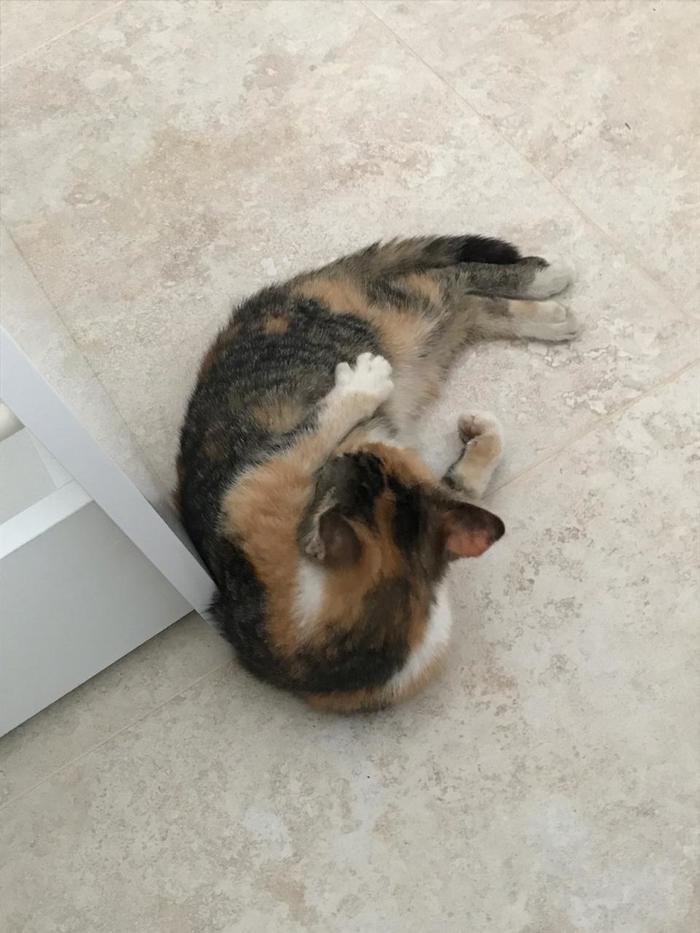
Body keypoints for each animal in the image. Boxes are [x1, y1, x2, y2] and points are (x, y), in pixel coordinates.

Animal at [176, 235, 578, 712]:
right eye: (365, 463)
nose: (357, 447)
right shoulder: (253, 485)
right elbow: (462, 485)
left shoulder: (257, 485)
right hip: (414, 328)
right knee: (459, 297)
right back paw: (548, 306)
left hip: (406, 321)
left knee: (453, 281)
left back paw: (547, 290)